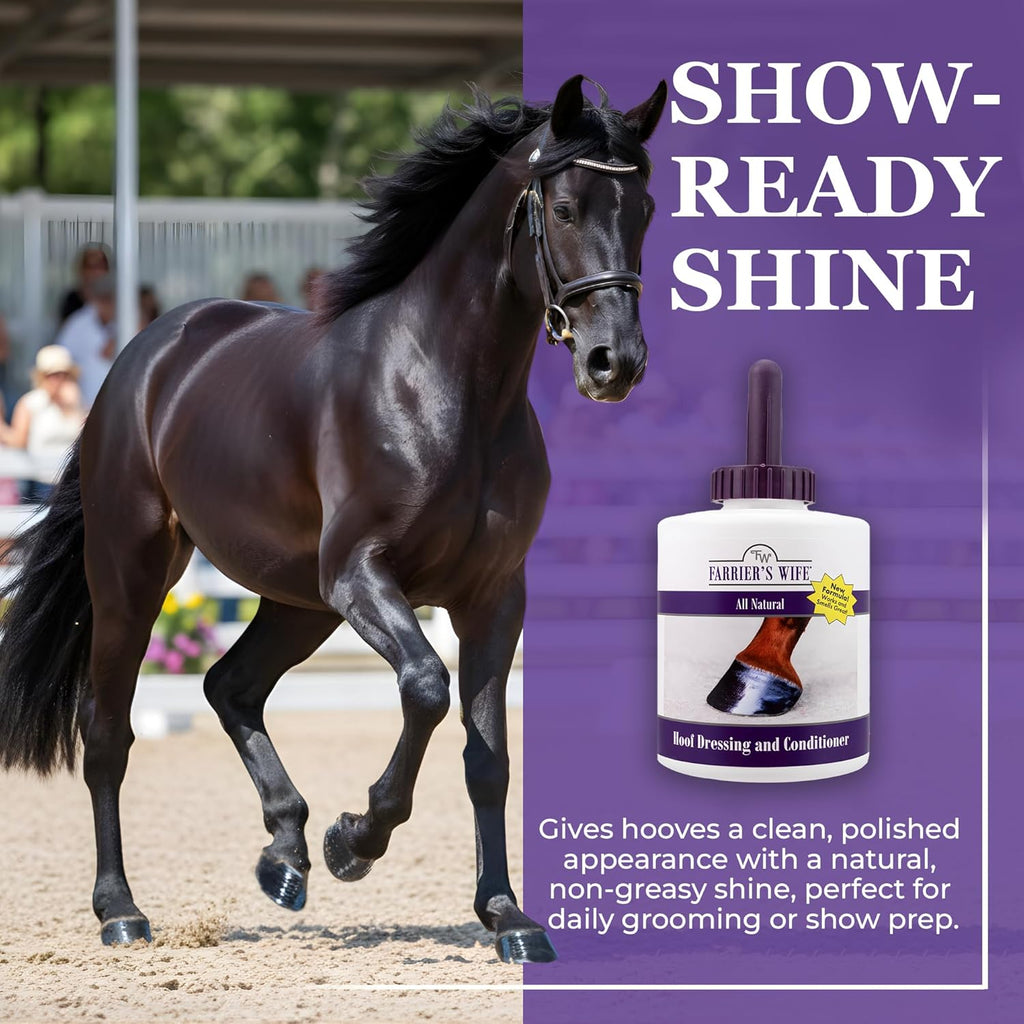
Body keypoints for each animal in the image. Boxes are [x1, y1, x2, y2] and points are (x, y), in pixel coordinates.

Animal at [0, 74, 666, 965]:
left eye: (645, 208)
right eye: (562, 207)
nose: (613, 364)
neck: (449, 386)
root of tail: (146, 355)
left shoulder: (494, 596)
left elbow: (488, 756)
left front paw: (507, 917)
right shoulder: (361, 574)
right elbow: (426, 688)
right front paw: (357, 839)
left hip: (296, 600)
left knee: (230, 686)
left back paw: (284, 856)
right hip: (134, 574)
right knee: (107, 732)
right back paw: (123, 911)